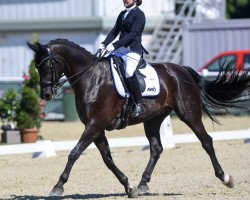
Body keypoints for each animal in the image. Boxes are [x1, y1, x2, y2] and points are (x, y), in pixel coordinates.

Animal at [28, 39, 249, 198]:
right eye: (37, 66)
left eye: (48, 65)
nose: (46, 95)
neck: (91, 78)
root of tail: (181, 69)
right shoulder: (96, 127)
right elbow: (107, 159)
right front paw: (129, 186)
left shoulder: (95, 124)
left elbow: (74, 153)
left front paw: (58, 186)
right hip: (153, 119)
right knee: (156, 148)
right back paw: (143, 184)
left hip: (189, 114)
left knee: (206, 141)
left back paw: (225, 178)